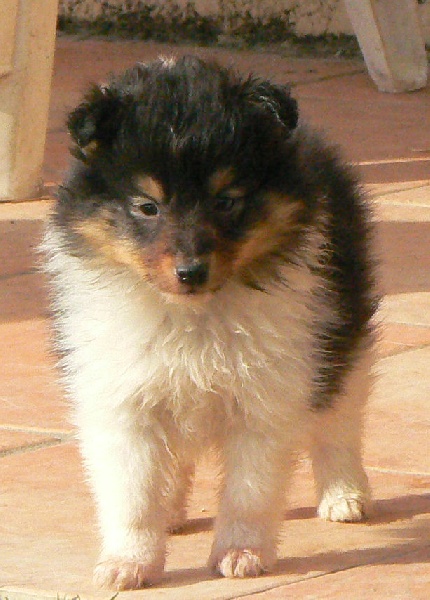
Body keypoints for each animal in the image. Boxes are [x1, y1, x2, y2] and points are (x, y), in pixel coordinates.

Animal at [42, 55, 377, 590]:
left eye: (226, 200)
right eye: (147, 206)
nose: (191, 271)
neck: (191, 315)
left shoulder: (267, 400)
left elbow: (249, 490)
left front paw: (241, 554)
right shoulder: (123, 398)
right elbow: (133, 494)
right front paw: (127, 563)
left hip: (343, 332)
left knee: (339, 421)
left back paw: (344, 495)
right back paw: (172, 511)